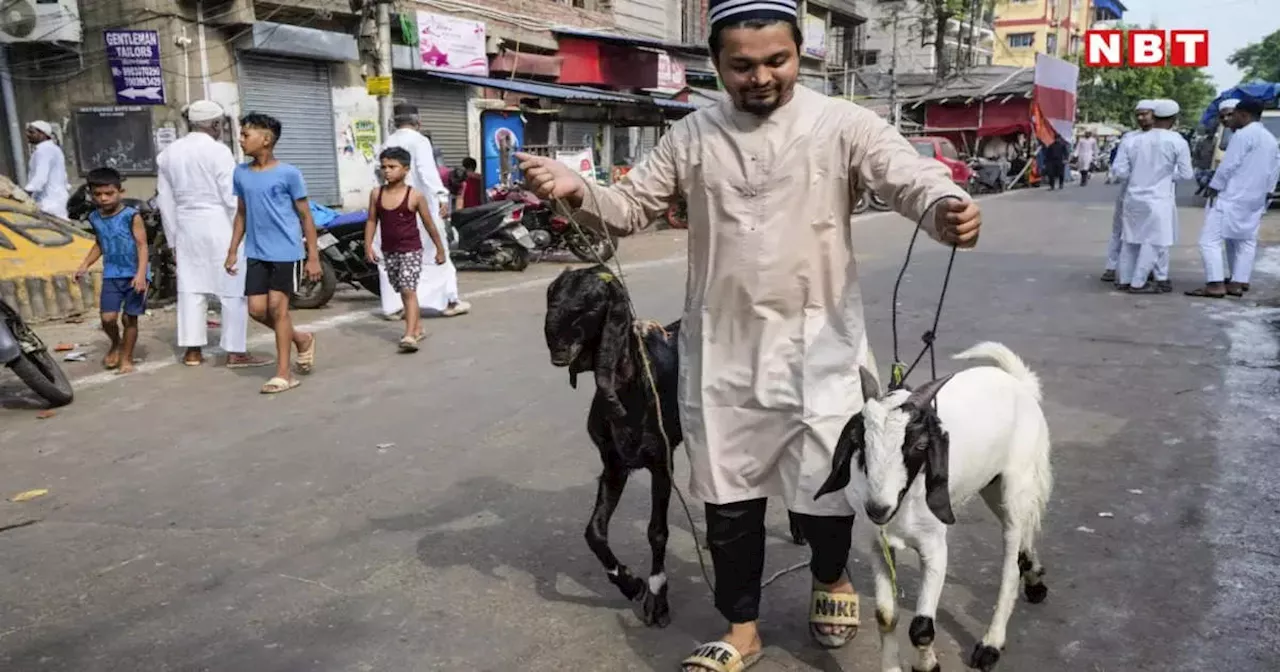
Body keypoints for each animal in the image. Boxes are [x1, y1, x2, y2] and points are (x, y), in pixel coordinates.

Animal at [545, 264, 803, 627]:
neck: (632, 383)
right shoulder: (614, 464)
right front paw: (630, 583)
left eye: (592, 304)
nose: (557, 345)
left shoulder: (660, 462)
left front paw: (657, 596)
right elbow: (593, 532)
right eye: (553, 293)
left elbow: (657, 531)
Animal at [819, 343, 1049, 665]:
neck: (902, 507)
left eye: (920, 446)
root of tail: (1020, 382)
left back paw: (991, 643)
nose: (878, 509)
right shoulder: (877, 545)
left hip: (1017, 481)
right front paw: (894, 667)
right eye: (861, 443)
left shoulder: (935, 546)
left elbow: (921, 627)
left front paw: (928, 666)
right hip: (993, 485)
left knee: (1011, 559)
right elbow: (885, 616)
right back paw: (1035, 578)